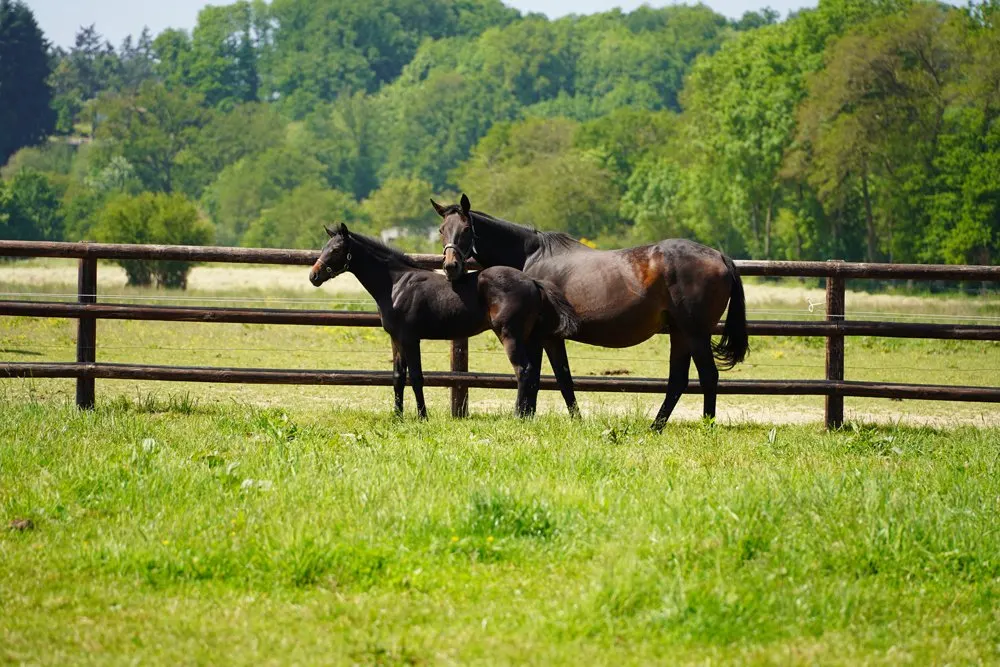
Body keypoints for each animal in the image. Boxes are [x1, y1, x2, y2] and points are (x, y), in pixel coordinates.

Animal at [309, 223, 579, 418]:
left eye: (335, 250)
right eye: (324, 247)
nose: (314, 276)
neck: (396, 284)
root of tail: (533, 281)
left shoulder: (410, 339)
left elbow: (416, 377)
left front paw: (422, 416)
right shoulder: (396, 339)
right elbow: (397, 377)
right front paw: (397, 416)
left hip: (509, 335)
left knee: (523, 370)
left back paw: (516, 416)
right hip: (529, 336)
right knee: (534, 373)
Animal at [433, 194, 749, 431]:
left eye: (466, 230)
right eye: (442, 230)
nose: (451, 267)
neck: (531, 257)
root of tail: (721, 257)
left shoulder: (542, 336)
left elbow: (549, 377)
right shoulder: (544, 337)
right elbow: (554, 377)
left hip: (695, 333)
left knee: (708, 376)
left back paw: (706, 425)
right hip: (680, 333)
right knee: (678, 381)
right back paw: (655, 427)